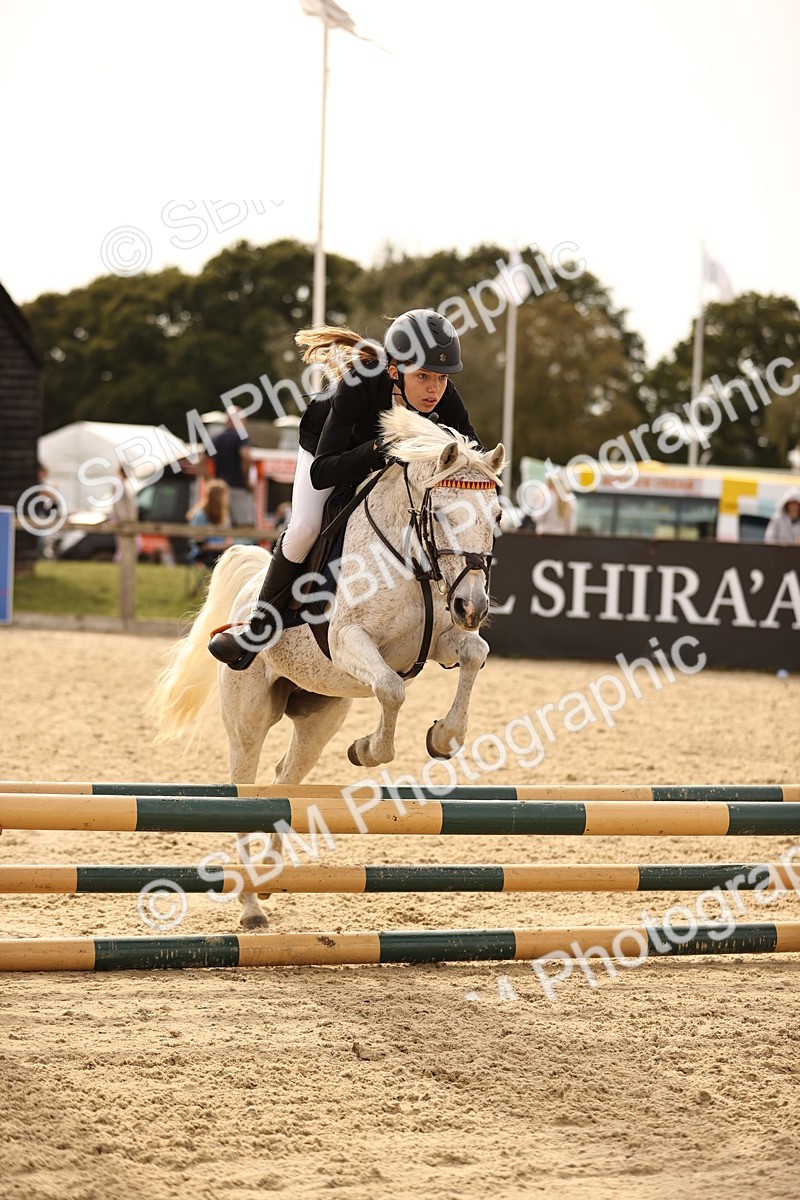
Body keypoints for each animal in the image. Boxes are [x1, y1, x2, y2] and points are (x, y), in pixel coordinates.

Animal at [148, 405, 504, 927]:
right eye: (440, 514)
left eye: (496, 517)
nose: (473, 606)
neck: (412, 560)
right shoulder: (348, 641)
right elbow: (392, 689)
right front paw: (369, 749)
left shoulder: (442, 640)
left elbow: (474, 655)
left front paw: (443, 737)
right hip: (248, 720)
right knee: (244, 792)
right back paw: (251, 905)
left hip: (321, 715)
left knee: (284, 781)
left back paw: (270, 876)